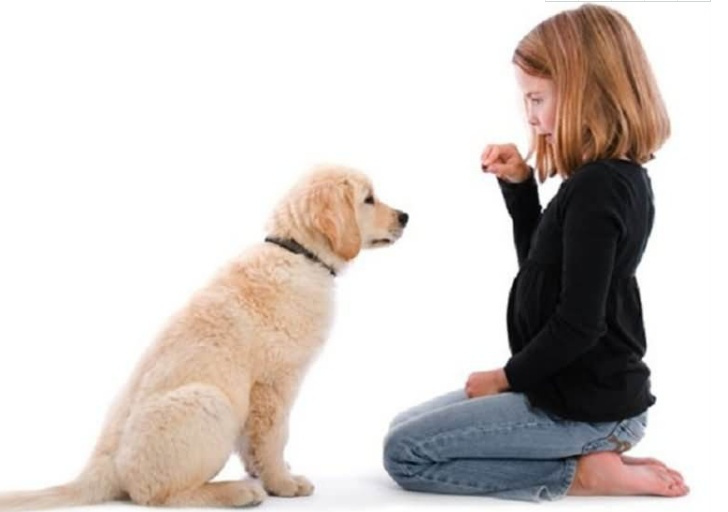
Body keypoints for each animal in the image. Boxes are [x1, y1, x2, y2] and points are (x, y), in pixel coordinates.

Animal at [0, 166, 410, 510]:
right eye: (369, 199)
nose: (405, 216)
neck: (297, 253)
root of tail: (98, 471)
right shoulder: (273, 384)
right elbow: (274, 437)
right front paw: (282, 483)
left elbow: (254, 445)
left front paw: (266, 472)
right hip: (210, 402)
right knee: (154, 494)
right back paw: (237, 492)